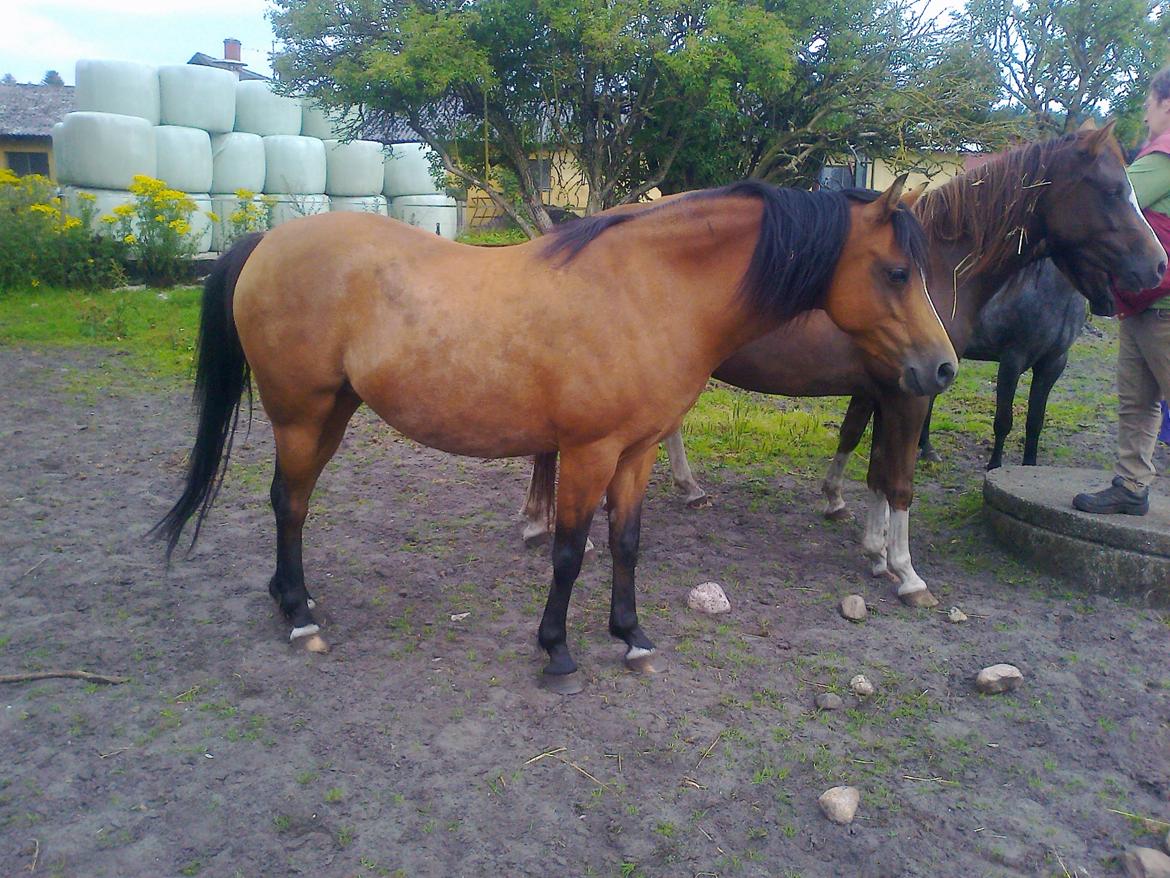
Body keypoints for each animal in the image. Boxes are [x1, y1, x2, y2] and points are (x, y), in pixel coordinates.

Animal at [154, 176, 957, 693]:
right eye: (895, 271)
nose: (942, 368)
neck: (649, 290)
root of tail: (268, 241)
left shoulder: (636, 451)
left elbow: (627, 542)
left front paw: (632, 639)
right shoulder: (589, 450)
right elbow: (569, 551)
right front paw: (559, 653)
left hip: (332, 412)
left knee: (290, 503)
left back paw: (292, 601)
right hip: (300, 414)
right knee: (289, 505)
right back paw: (298, 618)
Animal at [917, 259, 1086, 470]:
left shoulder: (1053, 365)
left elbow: (1035, 421)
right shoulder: (1012, 361)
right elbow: (1004, 420)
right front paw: (994, 465)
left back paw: (927, 449)